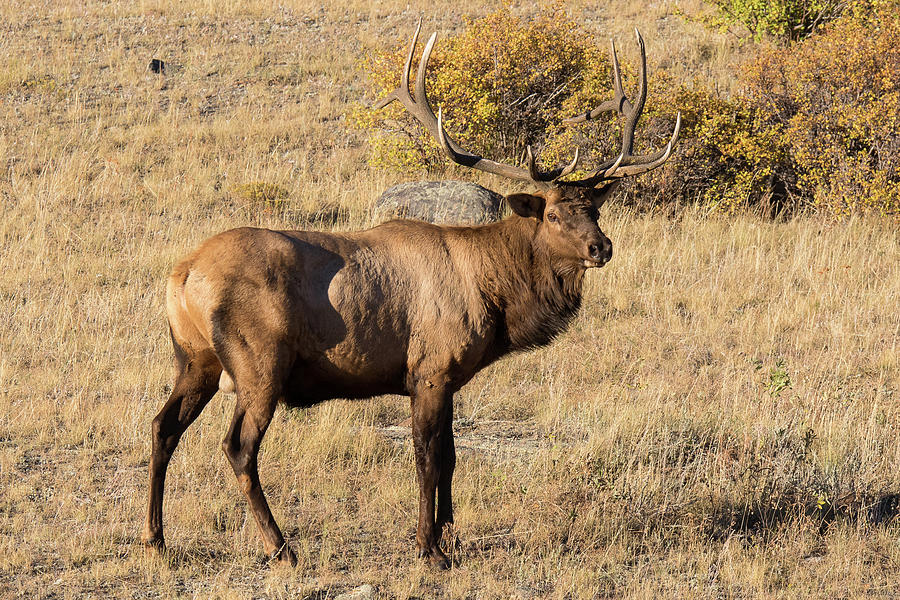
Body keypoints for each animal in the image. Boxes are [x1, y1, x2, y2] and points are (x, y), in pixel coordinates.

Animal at [141, 23, 680, 568]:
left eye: (594, 208)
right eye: (552, 214)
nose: (601, 247)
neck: (495, 294)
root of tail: (181, 275)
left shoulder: (449, 378)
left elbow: (453, 455)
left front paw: (451, 533)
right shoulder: (431, 369)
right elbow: (428, 457)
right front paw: (429, 547)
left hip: (195, 357)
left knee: (163, 426)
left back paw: (155, 538)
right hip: (259, 361)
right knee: (238, 446)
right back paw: (280, 546)